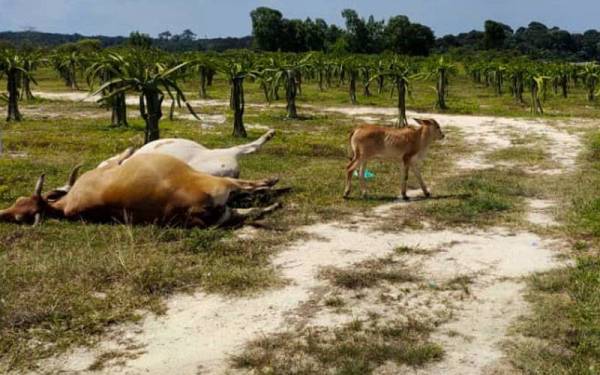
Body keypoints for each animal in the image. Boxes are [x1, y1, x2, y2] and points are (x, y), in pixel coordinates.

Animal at [0, 154, 282, 228]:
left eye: (20, 203)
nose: (3, 213)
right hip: (215, 183)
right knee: (247, 191)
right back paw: (271, 190)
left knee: (246, 208)